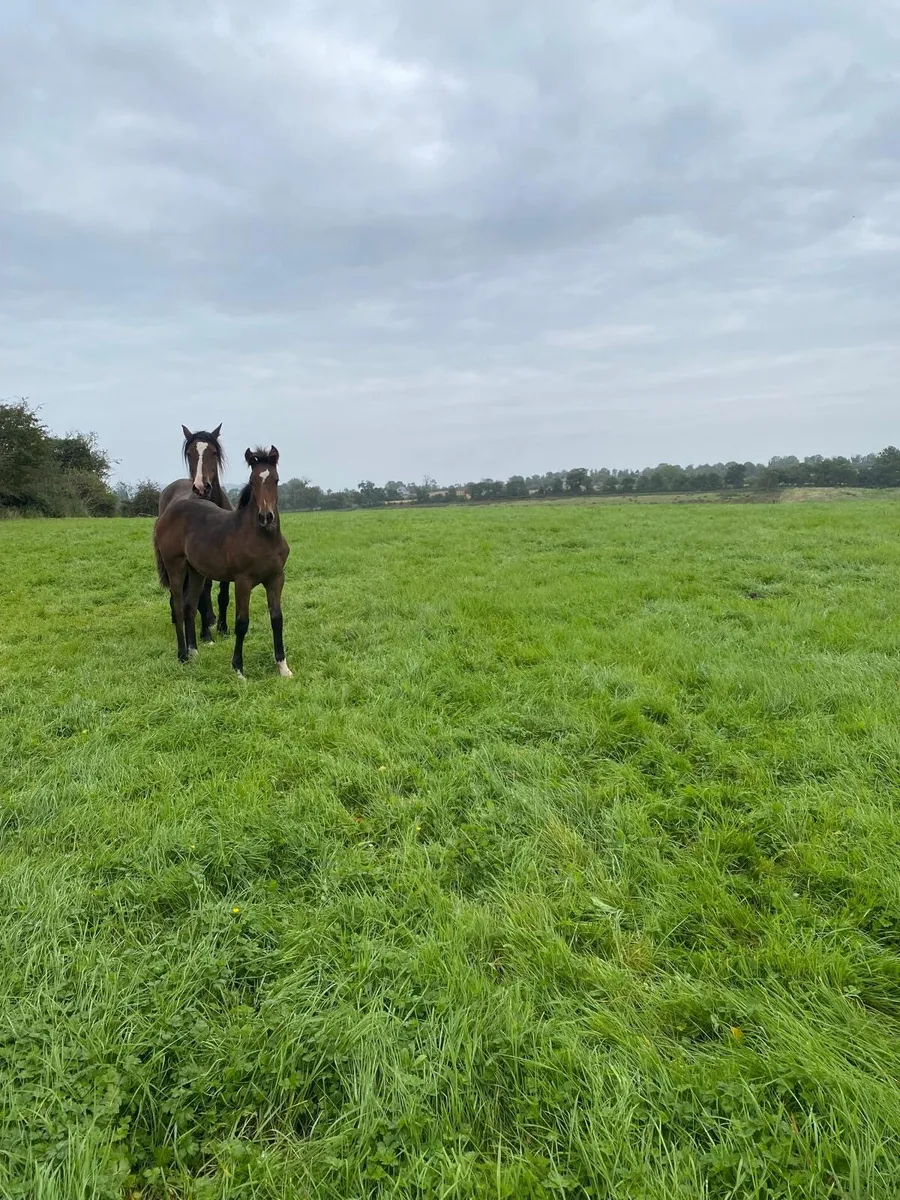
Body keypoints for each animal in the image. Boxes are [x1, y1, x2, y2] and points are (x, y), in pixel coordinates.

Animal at [153, 447, 291, 679]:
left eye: (276, 479)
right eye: (252, 481)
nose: (266, 517)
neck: (262, 538)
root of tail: (166, 514)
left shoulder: (276, 578)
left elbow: (277, 618)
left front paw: (283, 667)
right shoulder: (243, 581)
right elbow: (242, 623)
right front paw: (238, 669)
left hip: (196, 571)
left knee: (190, 606)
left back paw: (194, 652)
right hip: (175, 567)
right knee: (178, 606)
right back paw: (182, 656)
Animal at [158, 425, 231, 641]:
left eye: (213, 452)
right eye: (189, 454)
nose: (201, 487)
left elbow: (222, 596)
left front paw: (223, 628)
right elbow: (200, 598)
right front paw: (206, 634)